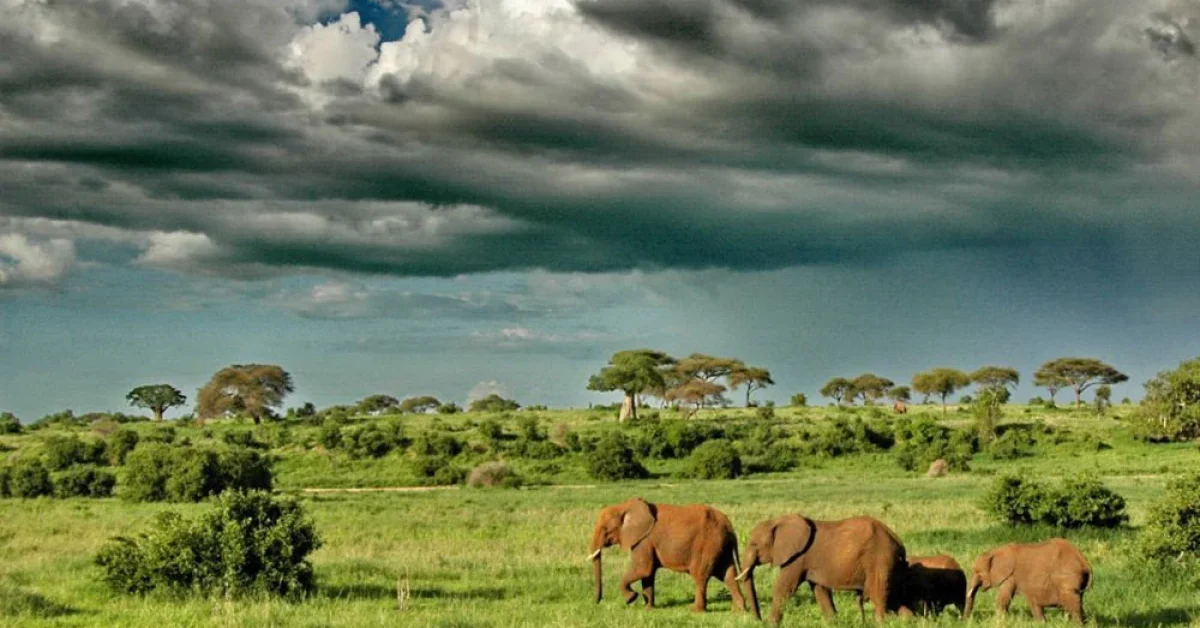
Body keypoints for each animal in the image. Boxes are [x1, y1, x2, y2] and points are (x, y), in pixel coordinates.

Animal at [587, 497, 747, 613]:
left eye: (605, 529)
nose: (597, 603)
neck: (624, 506)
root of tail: (729, 526)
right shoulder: (644, 541)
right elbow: (648, 574)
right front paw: (648, 609)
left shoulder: (644, 540)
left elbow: (643, 569)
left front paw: (631, 598)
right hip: (720, 546)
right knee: (728, 574)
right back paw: (738, 610)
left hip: (708, 545)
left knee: (700, 575)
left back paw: (695, 610)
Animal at [736, 514, 909, 624]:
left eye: (754, 544)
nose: (758, 620)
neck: (778, 520)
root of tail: (898, 541)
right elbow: (820, 590)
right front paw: (834, 622)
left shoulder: (798, 558)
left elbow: (783, 588)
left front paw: (771, 624)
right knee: (895, 595)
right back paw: (907, 620)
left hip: (880, 558)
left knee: (878, 593)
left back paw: (881, 623)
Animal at [964, 538, 1092, 624]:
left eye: (977, 572)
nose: (965, 620)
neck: (994, 551)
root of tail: (1084, 560)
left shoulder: (1011, 576)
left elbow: (1003, 599)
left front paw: (999, 622)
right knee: (1078, 602)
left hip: (1068, 576)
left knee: (1073, 604)